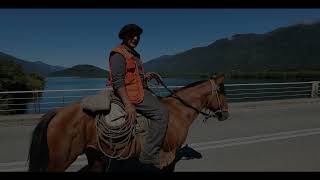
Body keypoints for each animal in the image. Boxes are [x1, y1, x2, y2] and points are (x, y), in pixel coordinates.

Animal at [26, 74, 228, 172]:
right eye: (221, 91)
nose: (225, 114)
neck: (177, 111)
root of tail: (58, 112)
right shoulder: (169, 153)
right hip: (60, 161)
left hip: (94, 154)